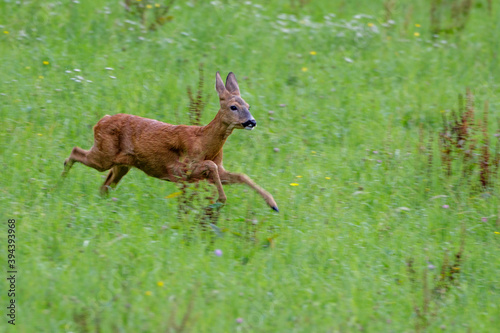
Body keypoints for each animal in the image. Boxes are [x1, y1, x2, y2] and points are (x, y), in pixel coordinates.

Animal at [62, 71, 280, 211]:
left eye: (248, 106)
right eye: (234, 107)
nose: (251, 122)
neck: (204, 142)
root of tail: (101, 121)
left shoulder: (216, 168)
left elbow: (241, 176)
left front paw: (273, 204)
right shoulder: (180, 168)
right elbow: (210, 167)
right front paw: (220, 200)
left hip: (121, 164)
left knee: (104, 186)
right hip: (104, 155)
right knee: (75, 151)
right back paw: (61, 180)